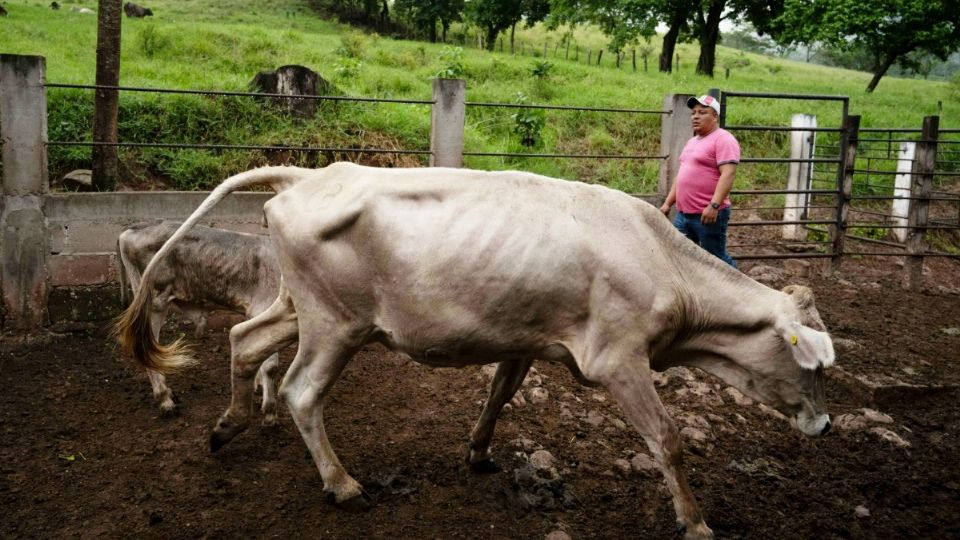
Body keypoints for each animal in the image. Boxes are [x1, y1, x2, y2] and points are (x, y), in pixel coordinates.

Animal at [117, 221, 282, 421]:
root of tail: (131, 231)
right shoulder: (264, 308)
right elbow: (270, 365)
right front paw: (270, 413)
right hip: (154, 303)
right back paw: (165, 400)